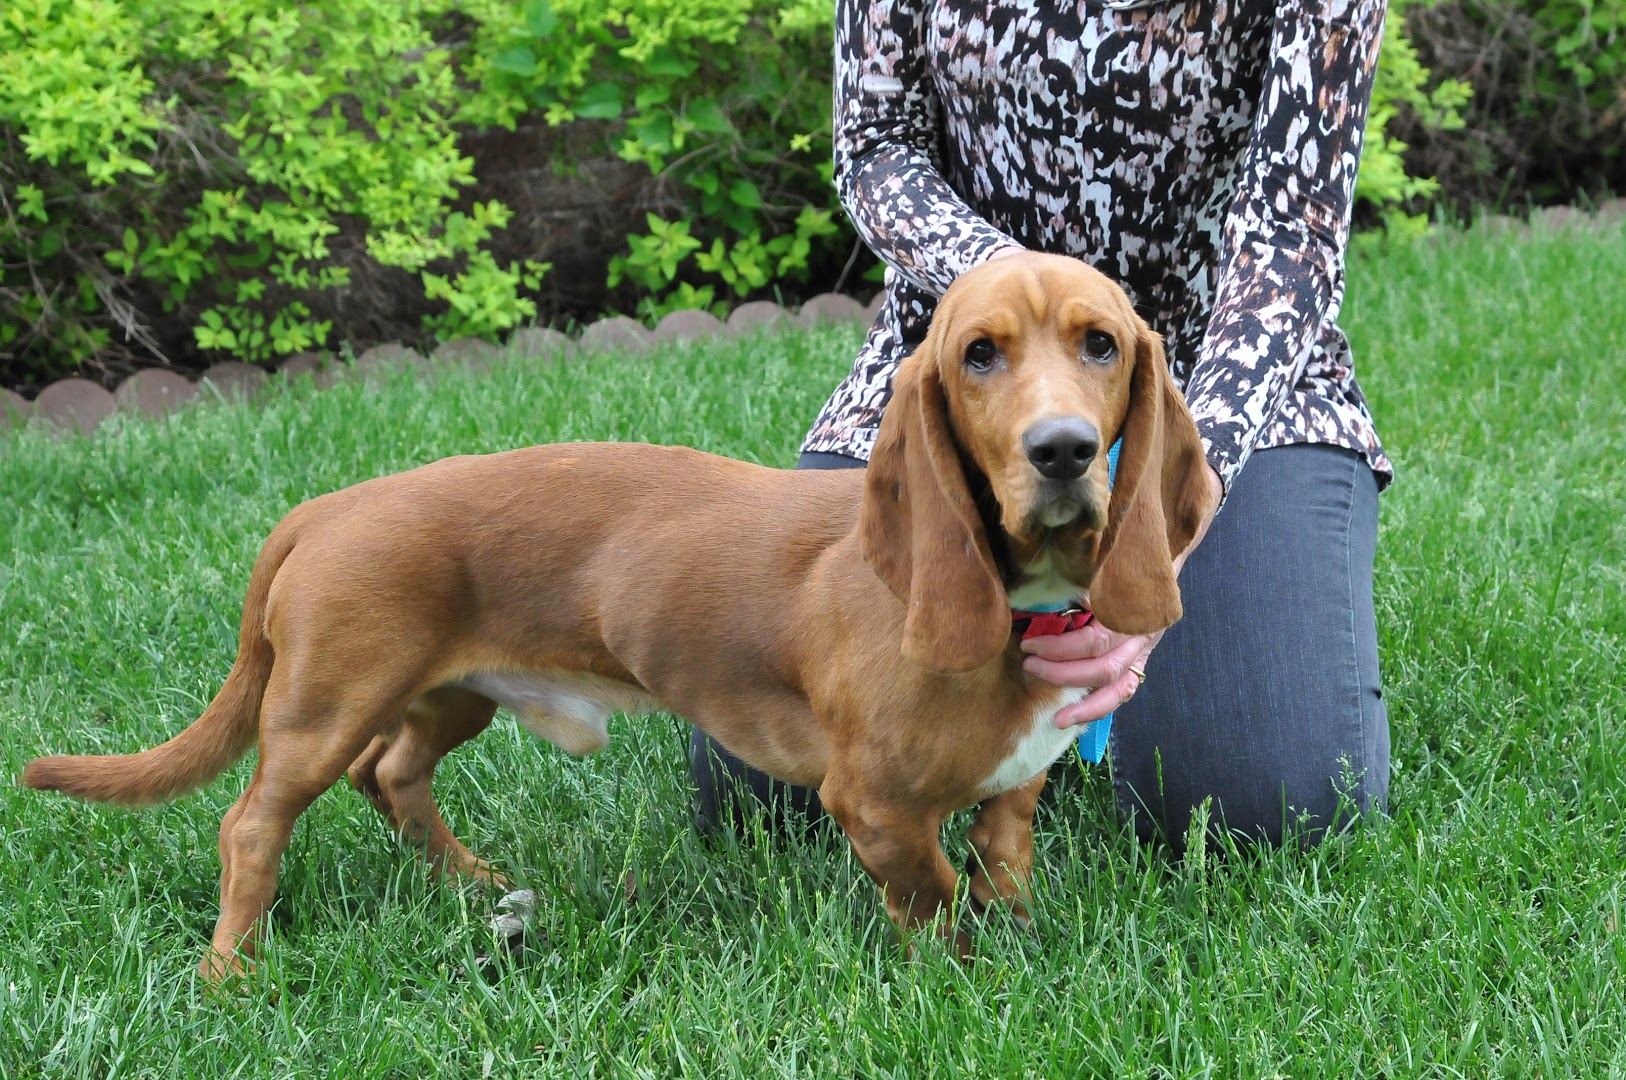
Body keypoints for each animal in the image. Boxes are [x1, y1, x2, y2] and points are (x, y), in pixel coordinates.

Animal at [22, 253, 1222, 975]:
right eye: (979, 354)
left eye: (1102, 343)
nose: (1064, 450)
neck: (1019, 612)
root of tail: (324, 508)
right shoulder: (876, 807)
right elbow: (932, 901)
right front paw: (964, 981)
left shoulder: (1014, 788)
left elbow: (1003, 872)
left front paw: (1018, 948)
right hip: (322, 705)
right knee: (253, 824)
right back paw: (231, 971)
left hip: (450, 695)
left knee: (393, 773)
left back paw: (474, 884)